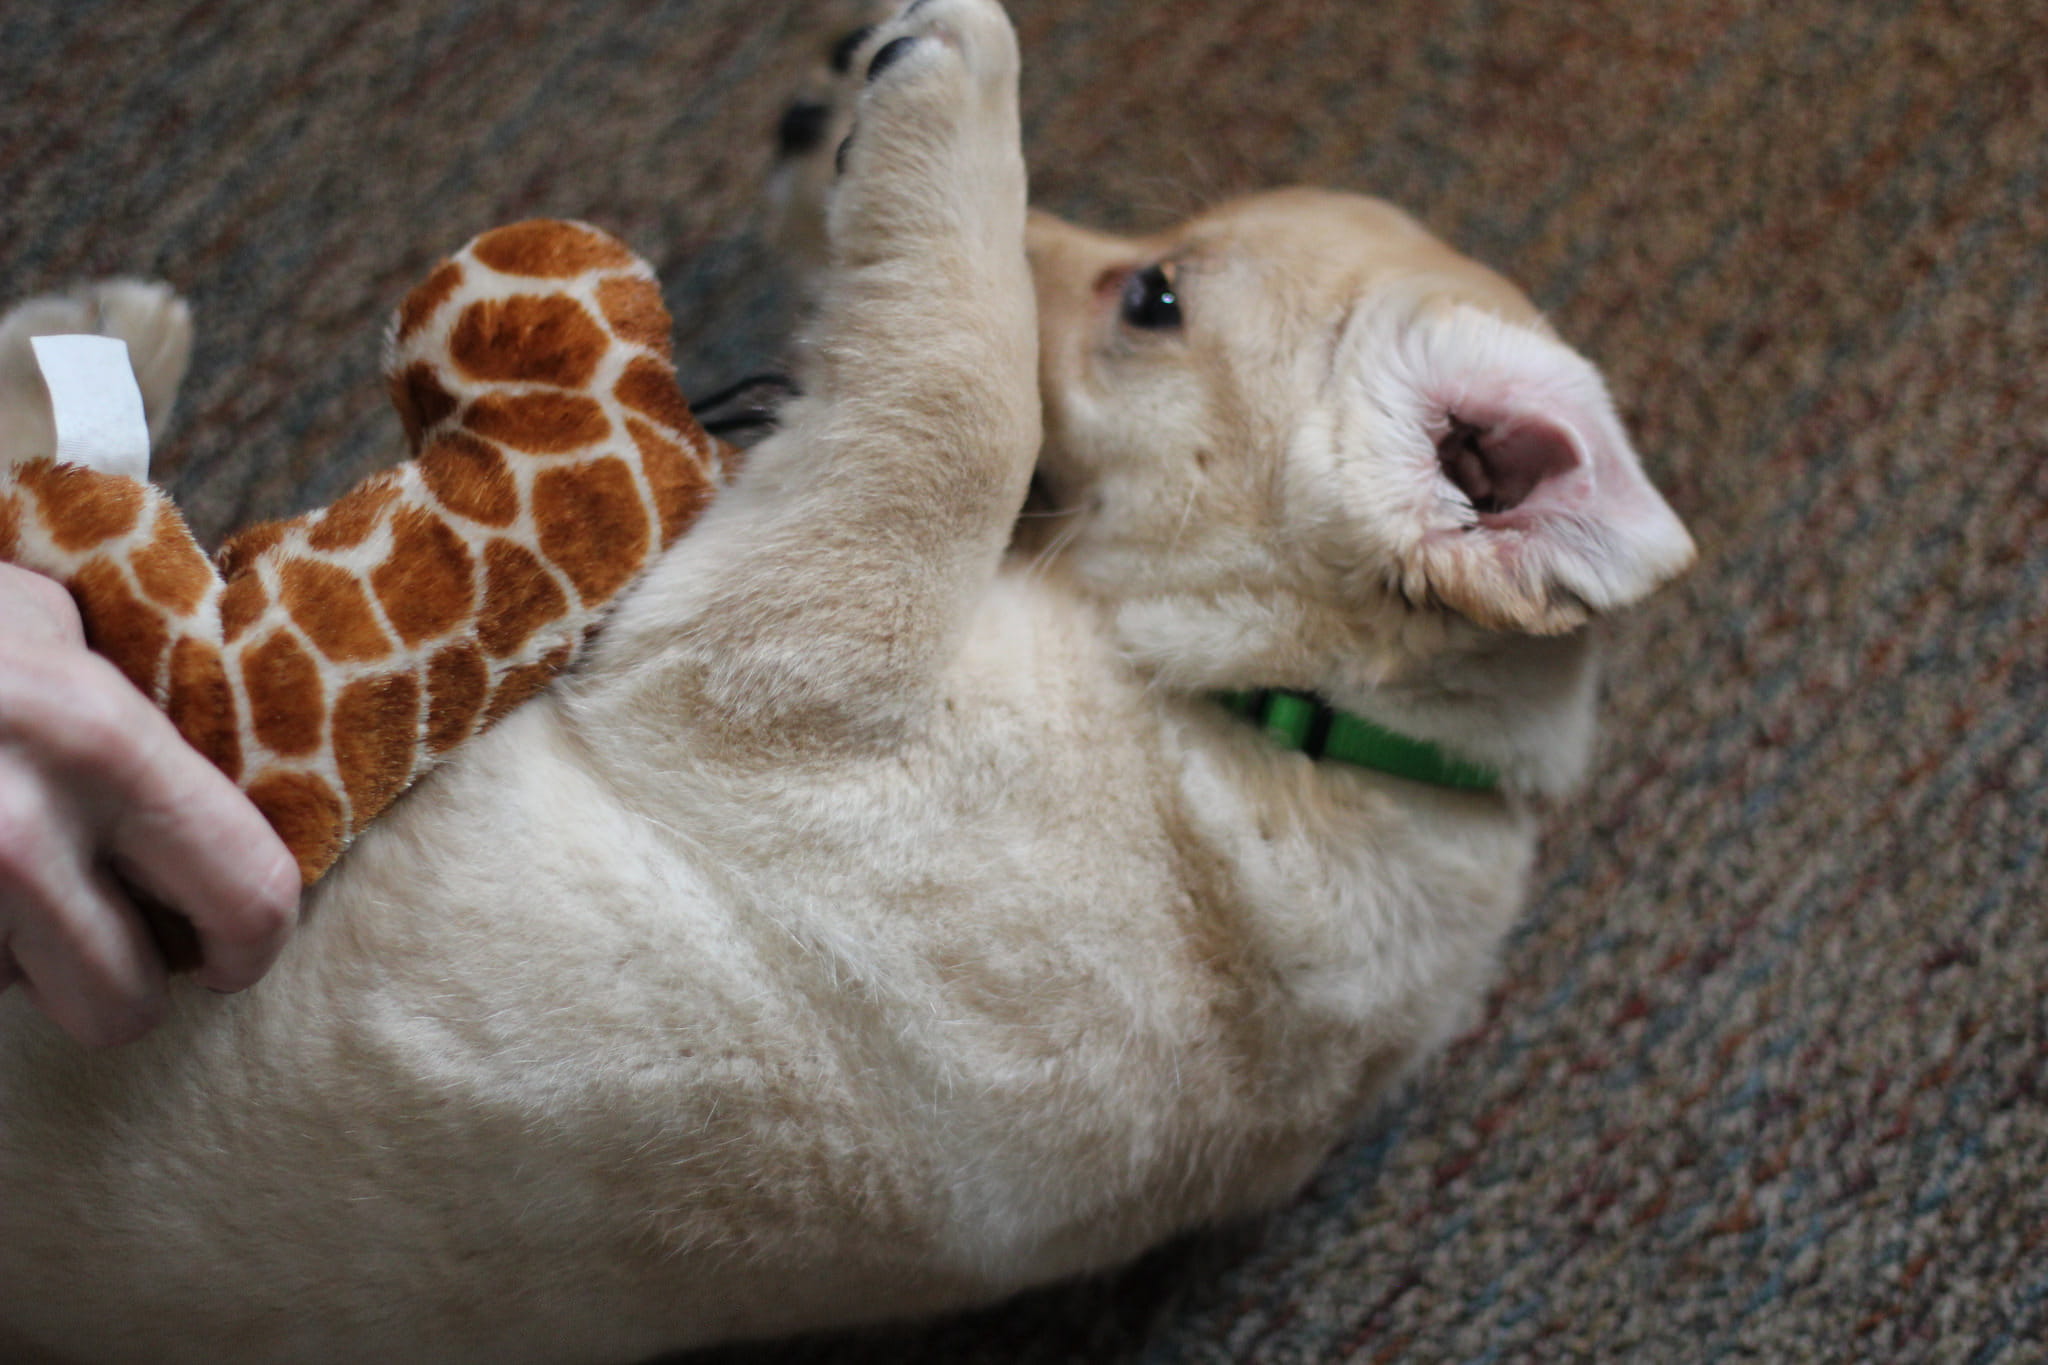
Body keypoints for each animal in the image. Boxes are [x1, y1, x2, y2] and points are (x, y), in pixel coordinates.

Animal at [4, 2, 1695, 1365]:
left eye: (1151, 299)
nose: (820, 102)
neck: (1302, 724)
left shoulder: (772, 664)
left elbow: (964, 405)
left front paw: (954, 84)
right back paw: (115, 332)